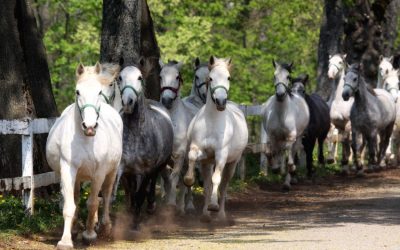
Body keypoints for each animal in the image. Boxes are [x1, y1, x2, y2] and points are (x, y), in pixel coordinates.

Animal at [46, 62, 122, 248]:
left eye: (99, 92)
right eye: (77, 92)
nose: (90, 126)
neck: (86, 140)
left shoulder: (99, 173)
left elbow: (93, 202)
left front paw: (89, 235)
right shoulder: (68, 169)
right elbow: (69, 205)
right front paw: (66, 240)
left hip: (112, 171)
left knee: (106, 195)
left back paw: (104, 226)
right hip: (77, 176)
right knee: (76, 196)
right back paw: (75, 228)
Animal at [158, 59, 198, 214]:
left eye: (177, 77)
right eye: (160, 76)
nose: (166, 100)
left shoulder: (180, 155)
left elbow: (174, 178)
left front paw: (171, 204)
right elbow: (166, 179)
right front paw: (165, 201)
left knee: (187, 180)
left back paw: (184, 206)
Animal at [184, 56, 247, 221]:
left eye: (228, 77)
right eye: (211, 78)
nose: (220, 102)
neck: (212, 121)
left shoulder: (221, 155)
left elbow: (216, 180)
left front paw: (213, 205)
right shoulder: (200, 151)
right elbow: (192, 157)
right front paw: (189, 179)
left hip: (232, 163)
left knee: (224, 186)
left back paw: (220, 214)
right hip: (207, 163)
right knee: (207, 184)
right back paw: (205, 215)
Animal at [262, 60, 310, 189]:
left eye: (288, 76)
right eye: (274, 76)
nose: (280, 94)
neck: (281, 114)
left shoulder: (291, 138)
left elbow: (289, 159)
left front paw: (289, 172)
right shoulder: (272, 136)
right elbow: (269, 153)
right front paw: (276, 169)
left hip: (298, 137)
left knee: (291, 152)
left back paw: (287, 183)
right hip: (280, 139)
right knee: (280, 152)